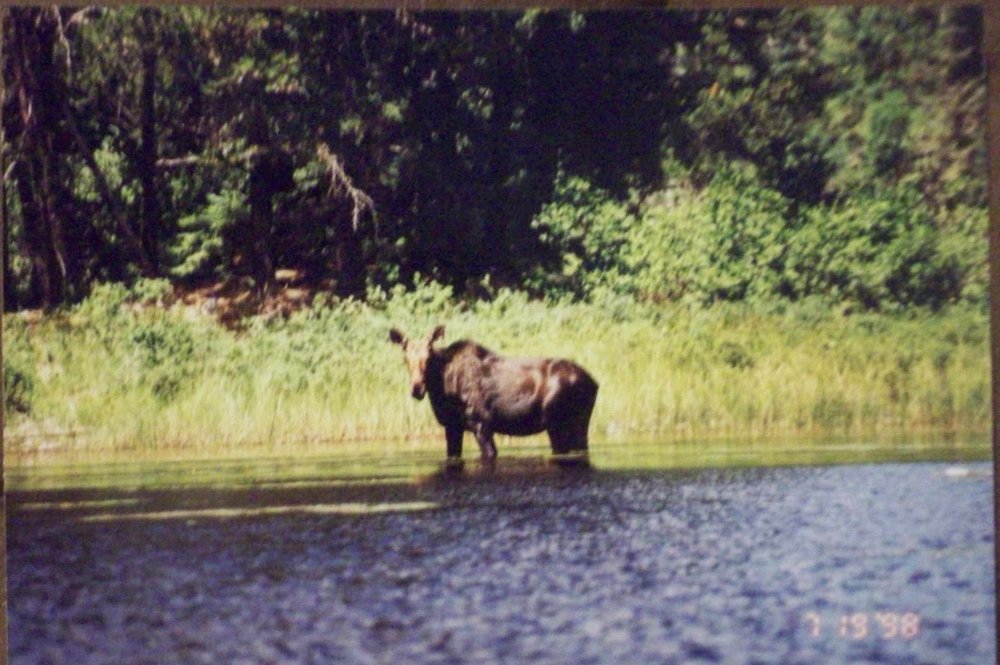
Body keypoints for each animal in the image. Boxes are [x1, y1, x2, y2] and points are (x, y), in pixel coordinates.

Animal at [386, 326, 596, 456]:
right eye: (405, 358)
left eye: (429, 357)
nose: (417, 388)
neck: (442, 392)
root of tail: (594, 383)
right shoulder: (452, 426)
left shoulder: (482, 424)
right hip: (580, 422)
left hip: (558, 423)